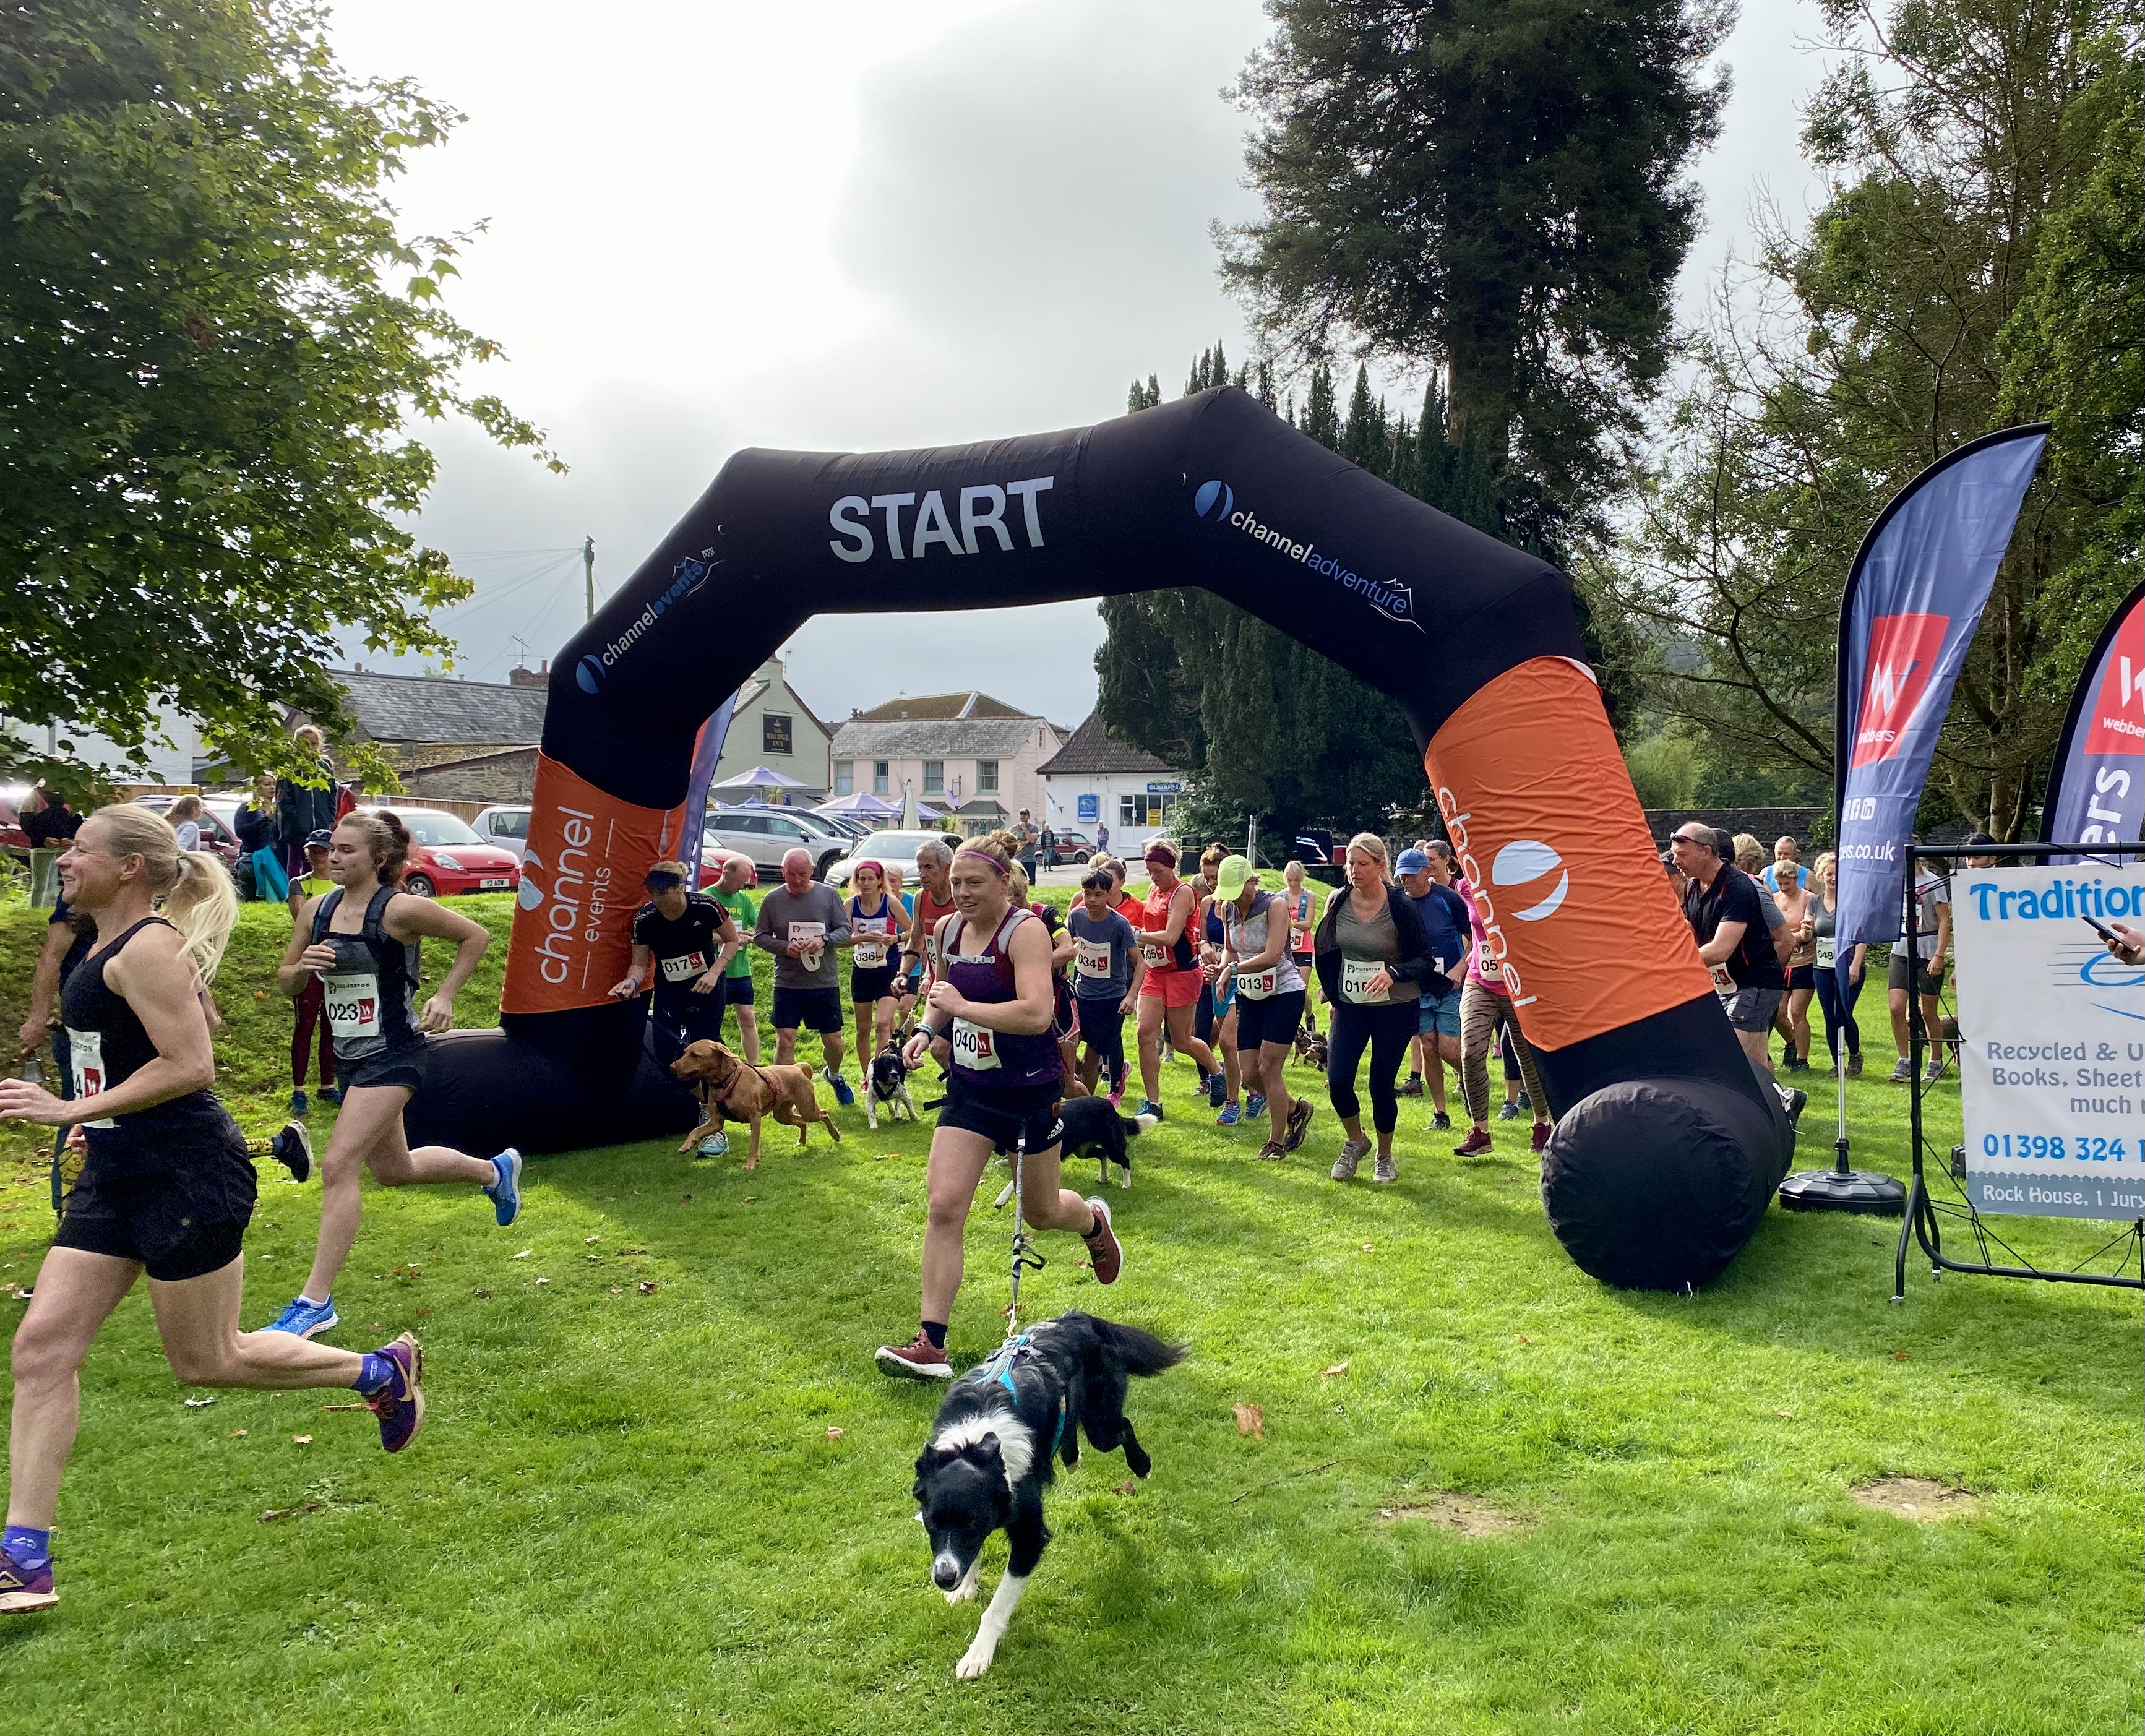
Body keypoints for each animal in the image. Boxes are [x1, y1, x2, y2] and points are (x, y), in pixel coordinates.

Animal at [669, 1034, 836, 1175]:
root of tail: (796, 1068)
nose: (672, 1067)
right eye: (685, 1052)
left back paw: (835, 1134)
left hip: (808, 1109)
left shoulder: (755, 1118)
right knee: (802, 1122)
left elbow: (753, 1145)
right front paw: (686, 1145)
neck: (726, 1081)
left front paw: (750, 1164)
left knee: (824, 1113)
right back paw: (802, 1142)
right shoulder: (716, 1122)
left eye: (695, 1055)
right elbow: (695, 1130)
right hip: (782, 1115)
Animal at [909, 1313, 1192, 1682]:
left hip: (1102, 1427)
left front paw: (977, 1656)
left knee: (1124, 1426)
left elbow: (997, 1606)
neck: (975, 1443)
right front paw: (966, 1587)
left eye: (971, 1522)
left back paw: (1141, 1465)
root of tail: (1075, 1318)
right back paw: (1072, 1458)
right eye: (931, 1522)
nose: (944, 1579)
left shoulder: (1030, 1536)